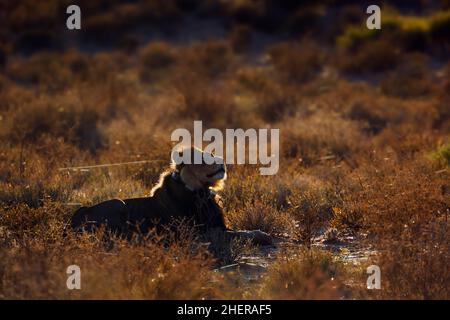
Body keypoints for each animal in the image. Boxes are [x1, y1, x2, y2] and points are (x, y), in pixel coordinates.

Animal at [72, 147, 272, 245]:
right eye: (203, 158)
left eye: (212, 153)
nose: (222, 161)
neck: (201, 192)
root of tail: (77, 214)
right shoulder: (201, 233)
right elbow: (238, 235)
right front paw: (263, 236)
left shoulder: (218, 224)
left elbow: (241, 231)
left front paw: (262, 233)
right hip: (118, 203)